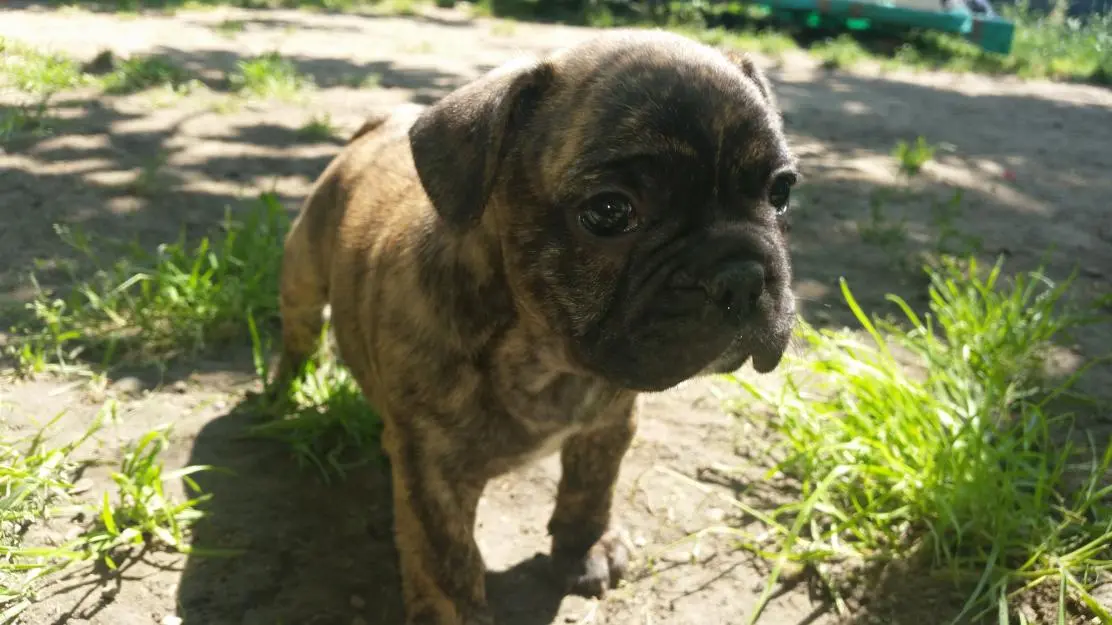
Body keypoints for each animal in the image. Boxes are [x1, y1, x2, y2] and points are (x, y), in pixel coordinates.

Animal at [270, 29, 798, 625]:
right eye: (610, 211)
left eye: (781, 193)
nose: (742, 276)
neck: (546, 356)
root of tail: (376, 126)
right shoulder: (433, 480)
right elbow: (449, 567)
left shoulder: (608, 424)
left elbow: (590, 490)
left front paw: (582, 550)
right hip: (303, 274)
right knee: (298, 335)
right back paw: (283, 391)